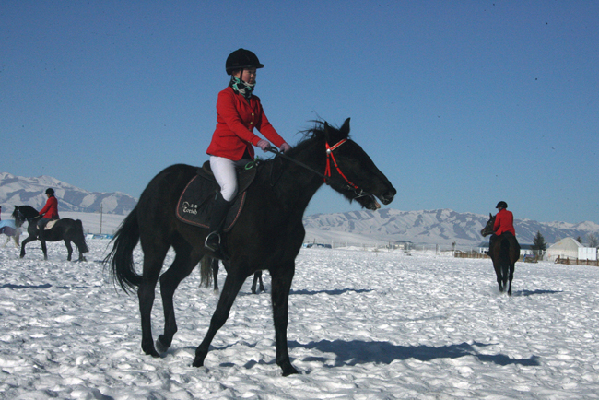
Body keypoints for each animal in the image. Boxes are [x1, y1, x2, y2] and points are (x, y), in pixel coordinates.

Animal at [105, 118, 396, 376]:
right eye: (352, 158)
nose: (389, 190)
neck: (279, 201)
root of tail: (153, 185)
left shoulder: (283, 269)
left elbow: (281, 317)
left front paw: (286, 366)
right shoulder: (239, 267)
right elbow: (220, 314)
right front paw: (199, 357)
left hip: (190, 252)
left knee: (167, 283)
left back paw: (165, 339)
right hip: (156, 245)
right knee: (147, 291)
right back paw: (149, 346)